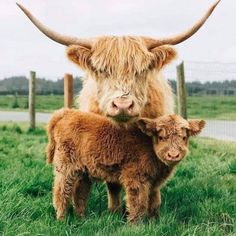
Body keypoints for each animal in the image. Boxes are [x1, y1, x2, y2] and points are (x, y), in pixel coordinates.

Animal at [17, 0, 220, 212]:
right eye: (102, 70)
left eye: (141, 71)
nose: (123, 104)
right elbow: (113, 184)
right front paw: (114, 210)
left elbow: (154, 186)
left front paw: (154, 210)